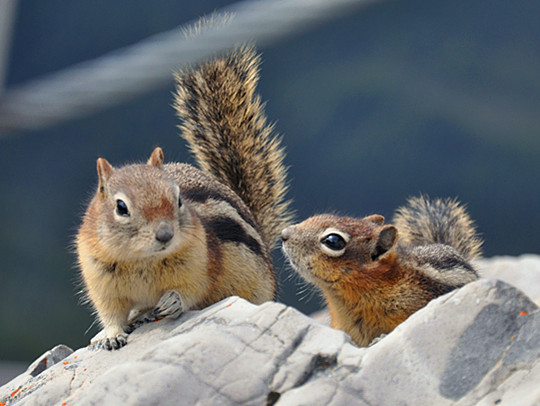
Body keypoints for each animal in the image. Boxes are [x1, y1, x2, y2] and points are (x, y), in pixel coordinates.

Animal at [76, 46, 292, 348]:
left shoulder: (200, 264)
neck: (142, 259)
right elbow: (110, 312)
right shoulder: (100, 280)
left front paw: (173, 301)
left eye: (178, 199)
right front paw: (112, 335)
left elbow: (192, 290)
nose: (165, 234)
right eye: (121, 207)